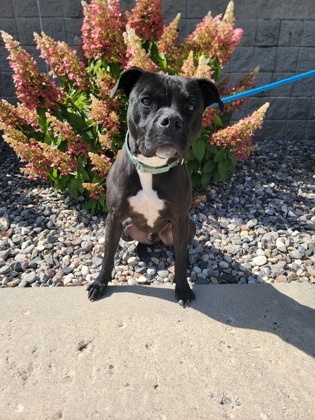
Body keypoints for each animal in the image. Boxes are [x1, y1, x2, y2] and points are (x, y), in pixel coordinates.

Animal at [87, 68, 223, 306]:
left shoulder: (180, 220)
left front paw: (182, 288)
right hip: (126, 228)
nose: (171, 121)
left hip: (189, 226)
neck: (151, 167)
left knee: (180, 247)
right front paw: (100, 283)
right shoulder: (114, 217)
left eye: (190, 107)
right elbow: (108, 255)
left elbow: (180, 259)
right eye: (146, 101)